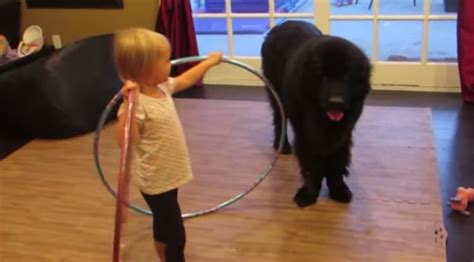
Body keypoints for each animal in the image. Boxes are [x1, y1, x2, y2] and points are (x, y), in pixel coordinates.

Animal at [262, 20, 372, 208]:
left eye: (347, 75)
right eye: (323, 76)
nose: (336, 102)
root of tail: (283, 24)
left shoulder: (344, 132)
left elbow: (337, 162)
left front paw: (339, 190)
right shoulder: (308, 134)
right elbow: (312, 165)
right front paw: (308, 194)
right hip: (277, 95)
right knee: (279, 119)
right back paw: (283, 146)